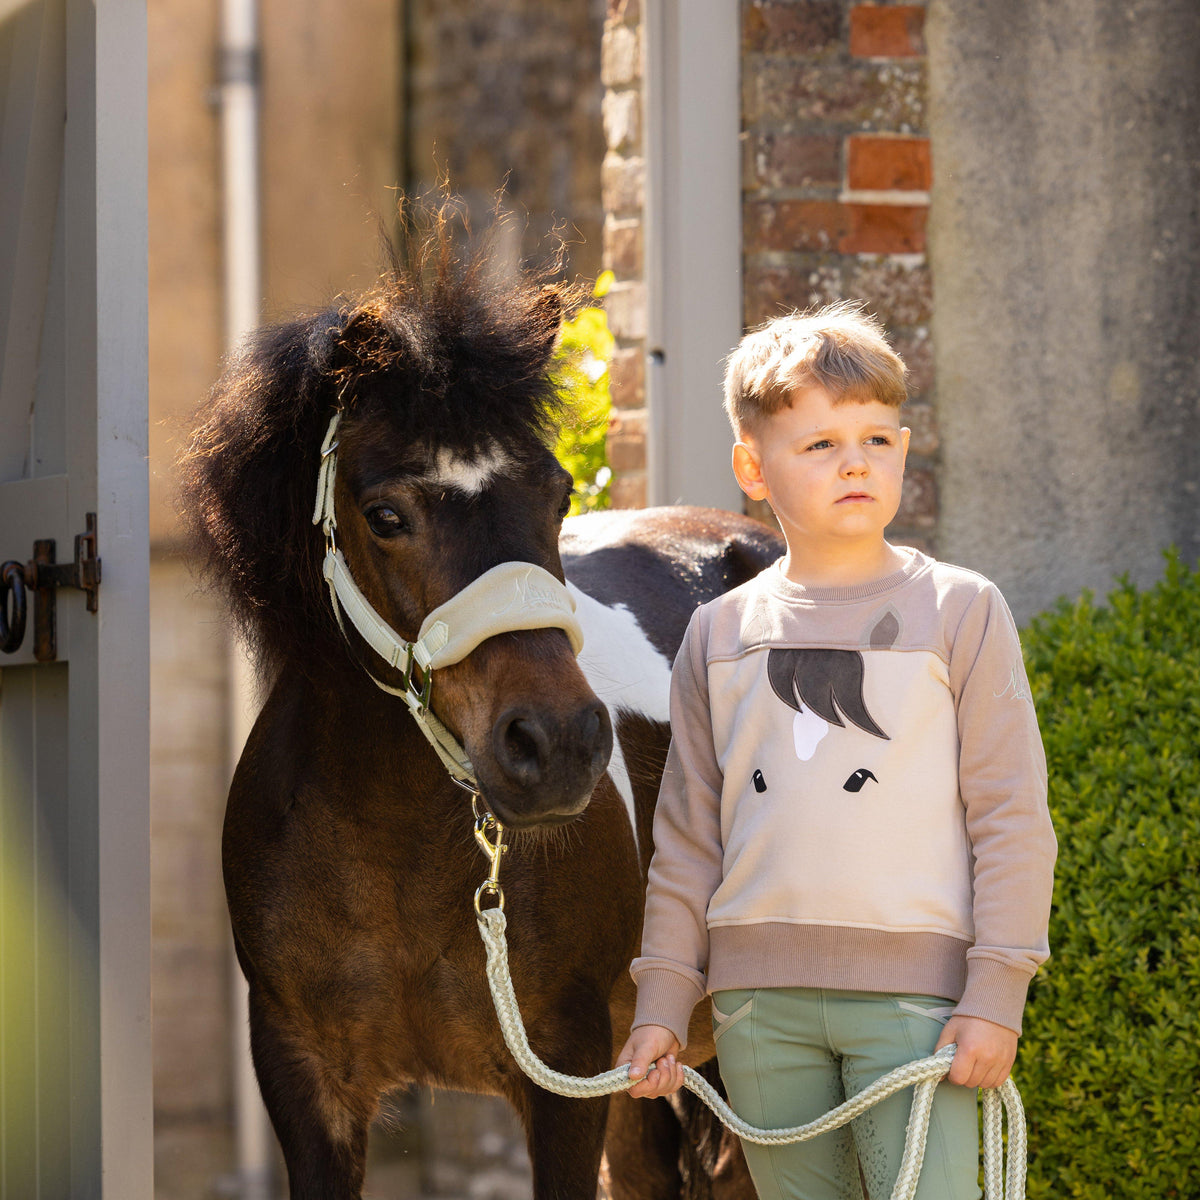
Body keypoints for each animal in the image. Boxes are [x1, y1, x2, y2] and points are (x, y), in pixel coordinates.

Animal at [180, 211, 783, 1200]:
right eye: (385, 514)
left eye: (559, 492)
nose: (561, 743)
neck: (387, 845)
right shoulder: (305, 1085)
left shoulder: (565, 1075)